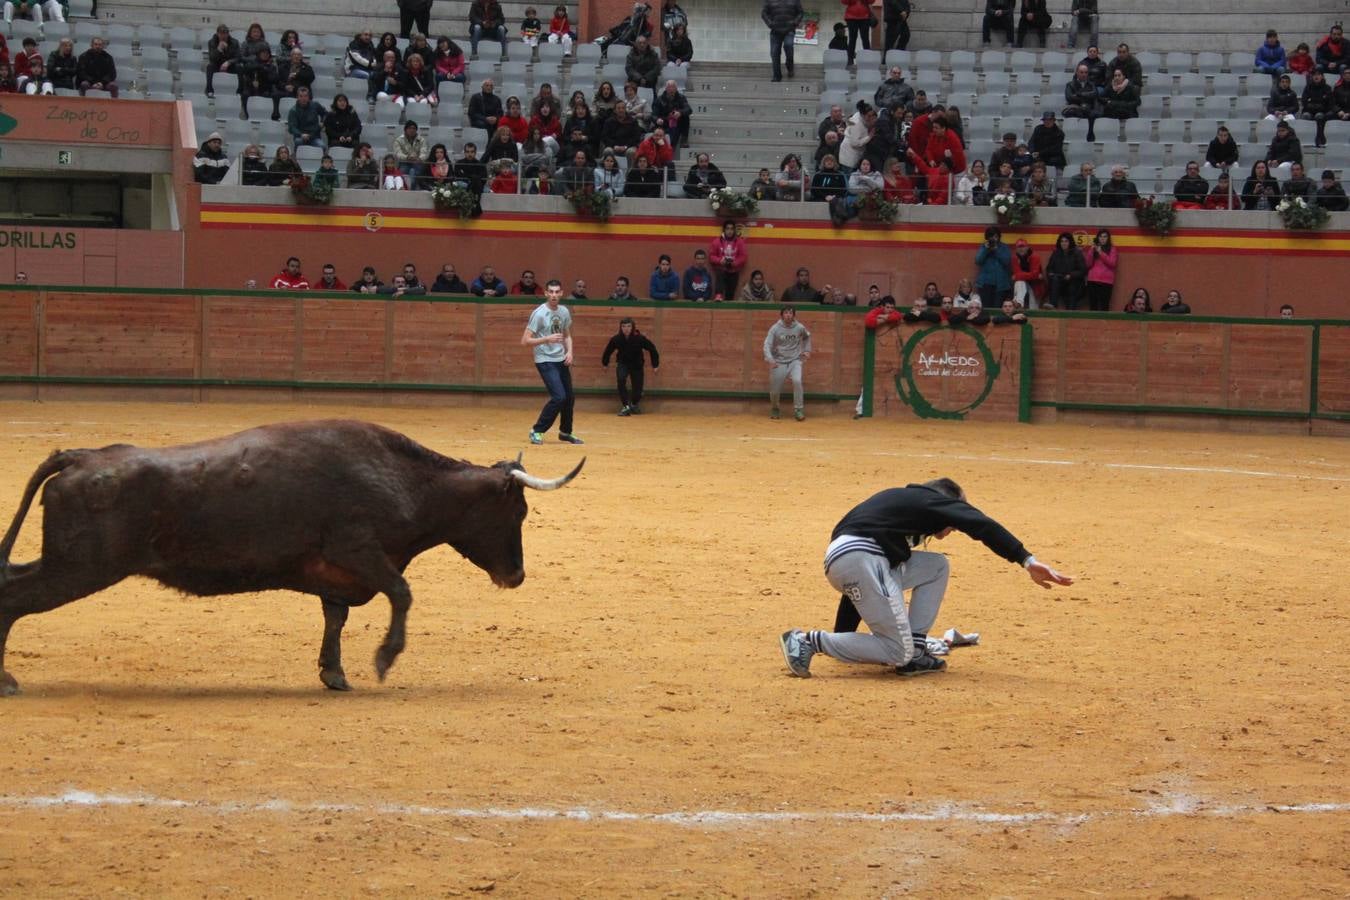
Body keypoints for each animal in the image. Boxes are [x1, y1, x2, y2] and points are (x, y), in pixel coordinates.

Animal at [0, 418, 585, 696]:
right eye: (519, 512)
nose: (517, 575)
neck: (405, 478)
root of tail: (82, 456)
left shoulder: (340, 574)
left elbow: (336, 617)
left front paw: (334, 673)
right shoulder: (360, 549)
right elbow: (401, 592)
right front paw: (383, 659)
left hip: (65, 564)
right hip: (78, 568)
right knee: (12, 598)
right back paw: (6, 680)